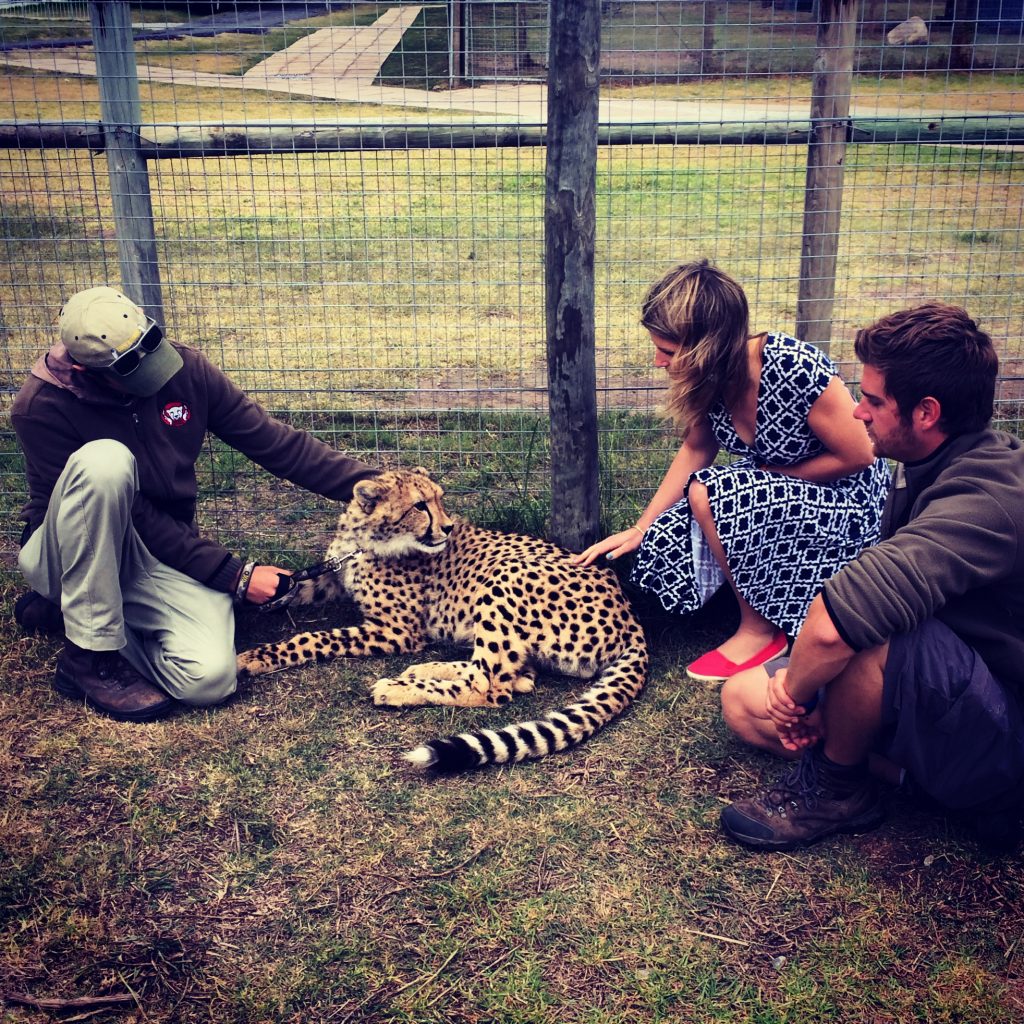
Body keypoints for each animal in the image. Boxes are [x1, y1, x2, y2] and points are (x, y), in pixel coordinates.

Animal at [235, 468, 643, 770]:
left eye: (439, 499)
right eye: (419, 505)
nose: (446, 528)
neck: (365, 540)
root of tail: (630, 617)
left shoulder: (396, 631)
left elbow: (313, 638)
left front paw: (251, 658)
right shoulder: (326, 580)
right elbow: (287, 589)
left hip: (506, 576)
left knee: (490, 685)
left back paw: (398, 688)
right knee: (516, 676)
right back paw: (423, 670)